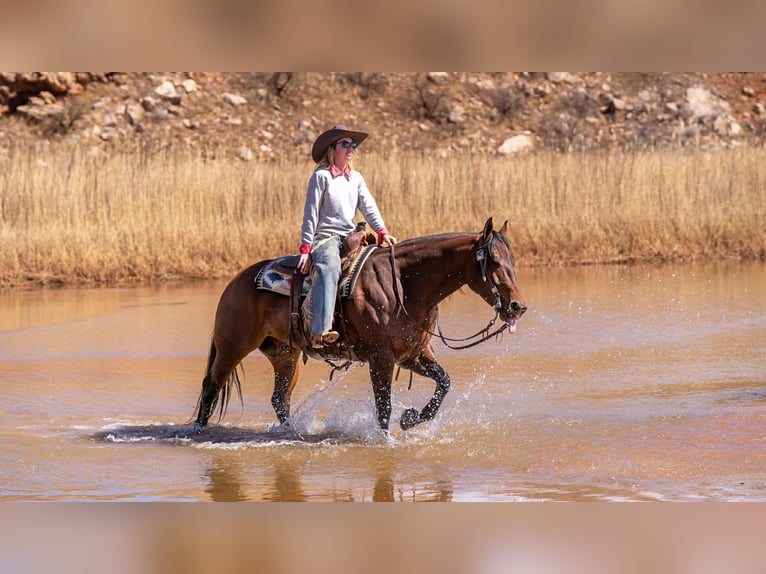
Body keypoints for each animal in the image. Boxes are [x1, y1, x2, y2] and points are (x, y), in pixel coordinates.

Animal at [193, 217, 527, 432]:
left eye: (512, 261)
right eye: (494, 262)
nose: (517, 306)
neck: (404, 285)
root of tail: (235, 282)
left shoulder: (412, 354)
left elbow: (444, 382)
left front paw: (411, 419)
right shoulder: (382, 357)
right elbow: (384, 406)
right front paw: (386, 438)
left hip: (284, 355)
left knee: (279, 399)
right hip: (232, 347)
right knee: (211, 387)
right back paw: (198, 430)